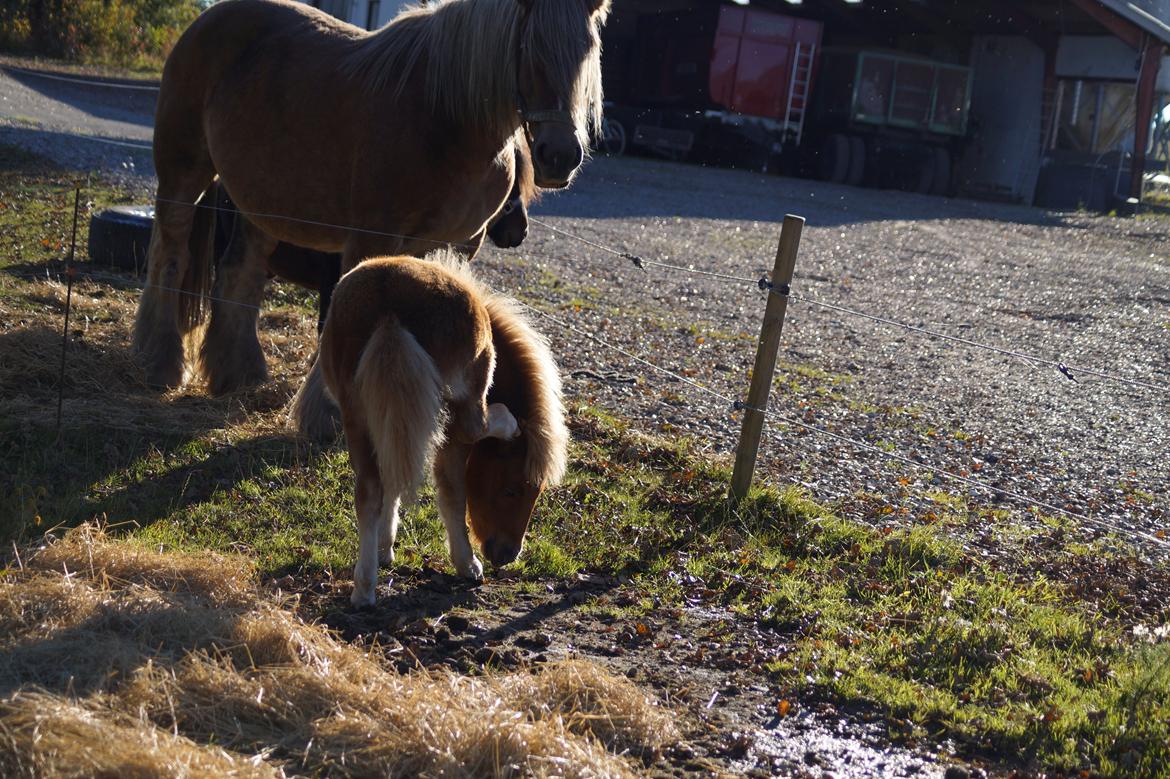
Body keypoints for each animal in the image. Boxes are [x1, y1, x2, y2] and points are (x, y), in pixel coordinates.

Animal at [130, 0, 603, 400]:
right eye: (529, 45)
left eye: (589, 49)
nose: (560, 156)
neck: (445, 117)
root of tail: (206, 20)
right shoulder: (372, 237)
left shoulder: (442, 247)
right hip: (184, 174)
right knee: (169, 255)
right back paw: (159, 363)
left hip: (261, 204)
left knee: (238, 275)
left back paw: (239, 374)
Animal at [320, 251, 566, 603]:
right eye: (512, 489)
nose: (507, 555)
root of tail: (389, 310)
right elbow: (452, 492)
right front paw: (466, 564)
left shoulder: (393, 421)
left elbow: (392, 482)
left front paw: (384, 547)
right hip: (457, 410)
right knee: (474, 430)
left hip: (358, 415)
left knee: (368, 492)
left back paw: (364, 587)